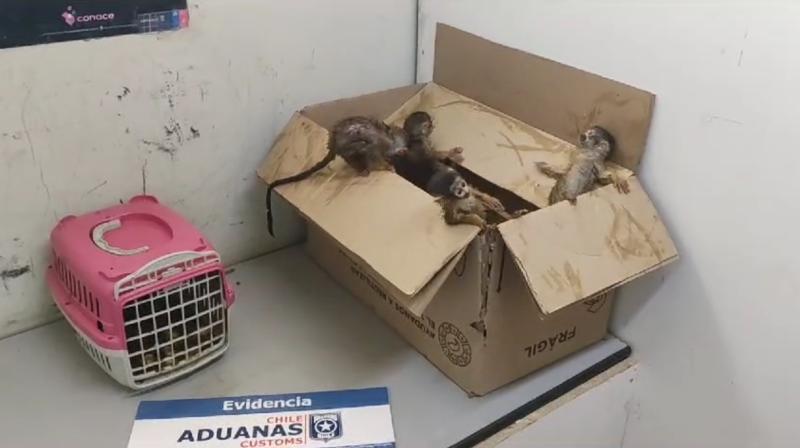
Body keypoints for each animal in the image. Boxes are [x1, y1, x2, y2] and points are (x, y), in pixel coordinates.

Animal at [265, 116, 407, 236]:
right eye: (400, 135)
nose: (404, 148)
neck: (388, 139)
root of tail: (333, 146)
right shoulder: (375, 151)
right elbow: (380, 162)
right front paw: (390, 167)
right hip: (356, 149)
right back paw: (364, 171)